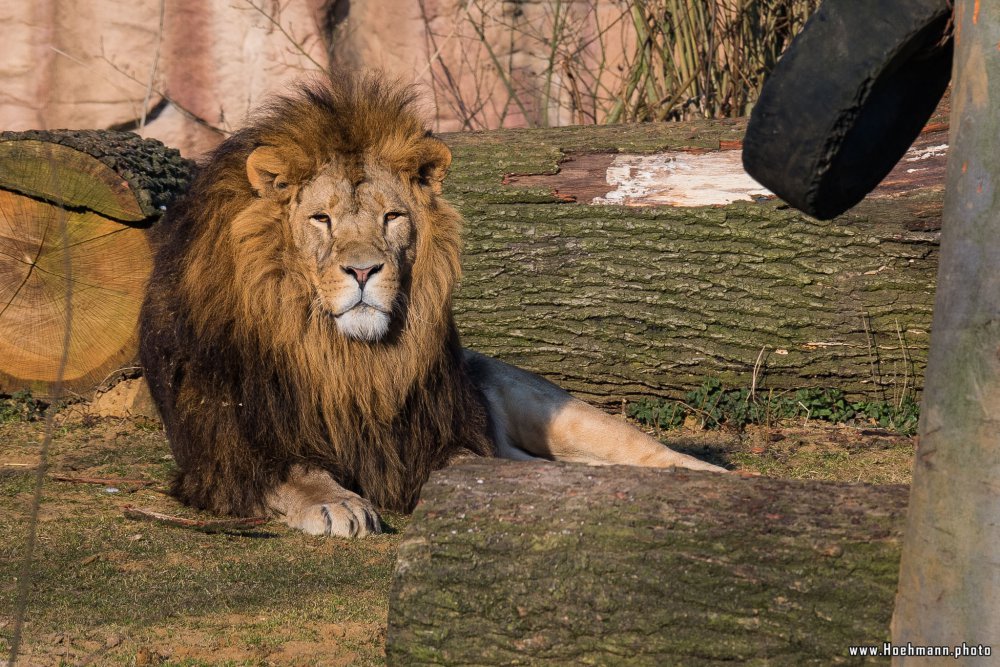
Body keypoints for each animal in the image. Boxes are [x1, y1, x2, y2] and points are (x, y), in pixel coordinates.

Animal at [137, 73, 724, 540]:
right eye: (321, 219)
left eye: (393, 217)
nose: (363, 271)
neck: (343, 358)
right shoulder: (228, 450)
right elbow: (293, 472)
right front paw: (334, 502)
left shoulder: (434, 435)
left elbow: (465, 463)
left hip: (553, 410)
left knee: (644, 450)